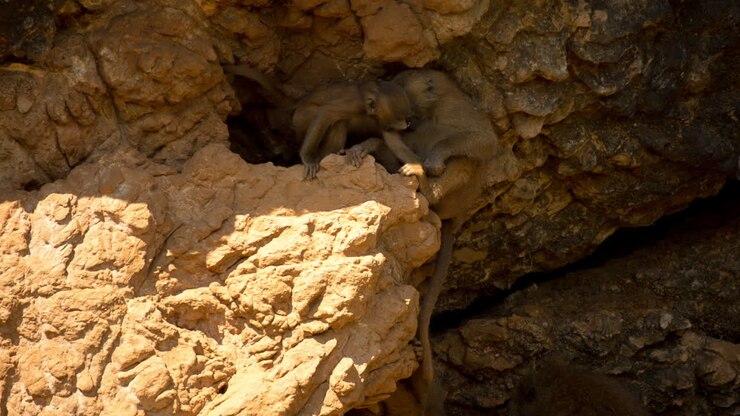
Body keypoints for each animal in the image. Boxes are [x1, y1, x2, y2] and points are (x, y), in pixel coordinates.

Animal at [222, 64, 413, 179]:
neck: (370, 94)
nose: (408, 123)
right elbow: (325, 114)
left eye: (404, 118)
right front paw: (308, 158)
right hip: (301, 118)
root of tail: (299, 101)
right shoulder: (354, 104)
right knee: (336, 121)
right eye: (399, 118)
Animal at [346, 69, 502, 415]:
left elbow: (483, 140)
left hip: (456, 197)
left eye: (402, 90)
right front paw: (370, 144)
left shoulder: (457, 112)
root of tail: (456, 218)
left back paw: (424, 184)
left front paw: (430, 159)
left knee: (463, 163)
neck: (432, 109)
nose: (401, 121)